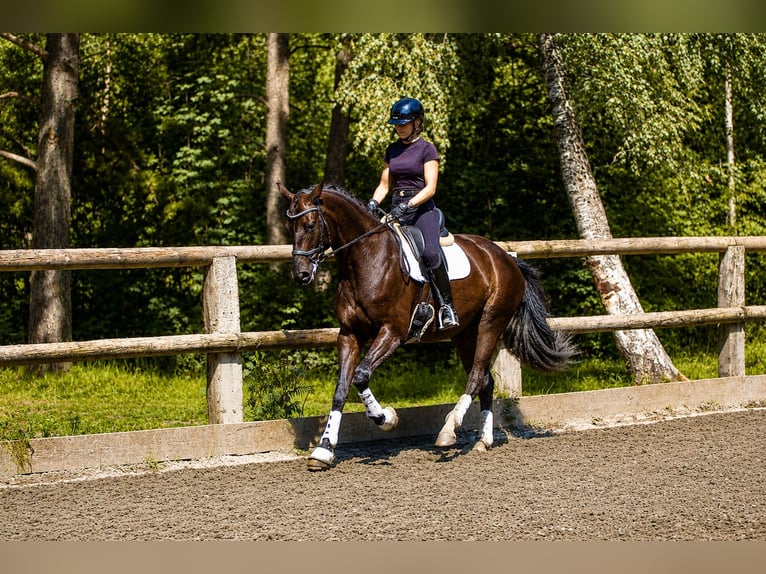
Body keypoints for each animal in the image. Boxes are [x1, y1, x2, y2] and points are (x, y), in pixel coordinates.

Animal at [279, 182, 575, 471]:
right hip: (465, 334)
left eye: (310, 225)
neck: (364, 260)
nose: (301, 274)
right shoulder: (350, 334)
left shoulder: (393, 333)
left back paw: (449, 430)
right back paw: (483, 441)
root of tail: (505, 257)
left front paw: (386, 418)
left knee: (476, 377)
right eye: (290, 228)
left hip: (490, 324)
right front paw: (323, 450)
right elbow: (341, 389)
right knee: (486, 381)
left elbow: (361, 376)